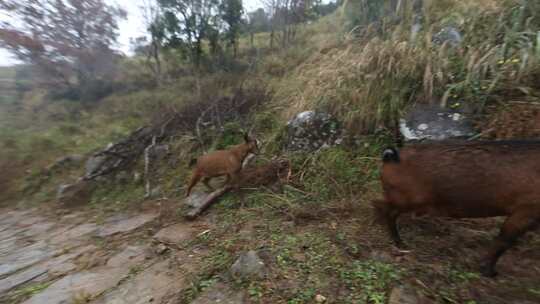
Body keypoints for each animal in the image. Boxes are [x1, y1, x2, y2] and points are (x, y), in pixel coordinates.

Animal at [374, 141, 540, 276]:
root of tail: (391, 156)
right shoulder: (526, 210)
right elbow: (504, 241)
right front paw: (489, 272)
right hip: (408, 199)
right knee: (383, 207)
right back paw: (401, 243)